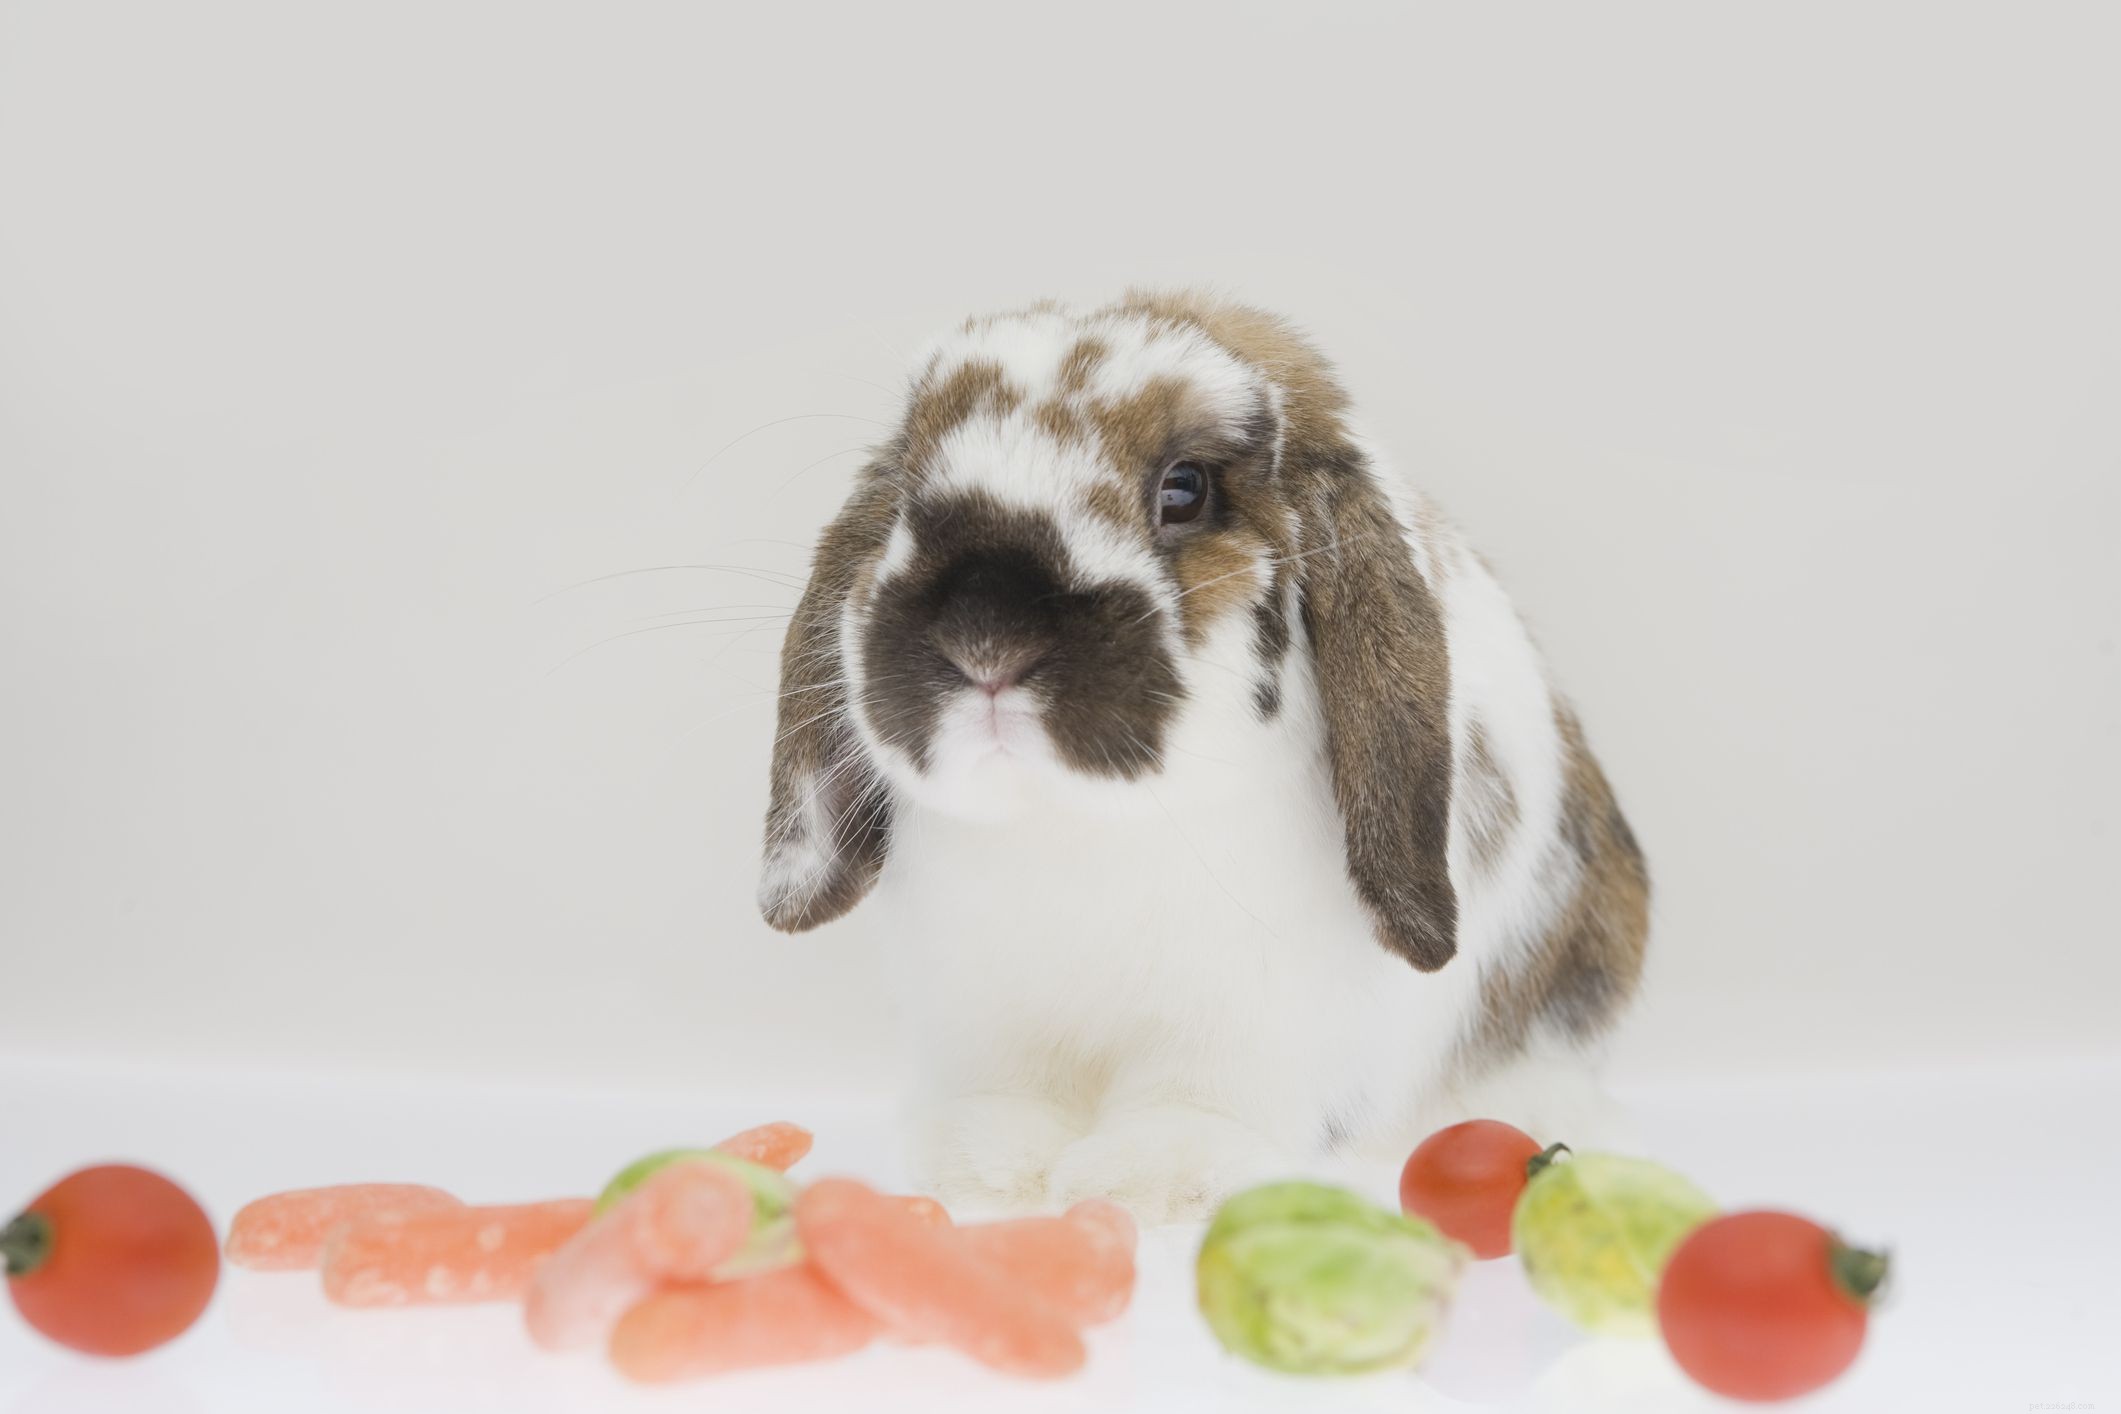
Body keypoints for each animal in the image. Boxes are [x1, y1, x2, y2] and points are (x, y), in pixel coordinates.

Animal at [758, 291, 1648, 1222]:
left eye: (1184, 489)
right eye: (906, 488)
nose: (983, 636)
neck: (1078, 823)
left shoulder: (1251, 1024)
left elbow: (1195, 1104)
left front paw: (1152, 1182)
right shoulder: (988, 1018)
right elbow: (1011, 1097)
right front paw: (988, 1174)